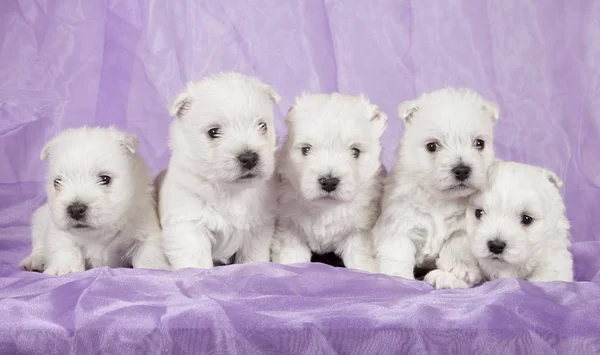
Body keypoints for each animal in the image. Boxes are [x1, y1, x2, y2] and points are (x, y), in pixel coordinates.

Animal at [19, 126, 169, 276]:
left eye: (105, 179)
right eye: (57, 182)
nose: (75, 210)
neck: (98, 234)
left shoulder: (144, 229)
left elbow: (148, 251)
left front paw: (153, 267)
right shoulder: (59, 231)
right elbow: (66, 248)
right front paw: (65, 269)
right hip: (40, 218)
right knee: (39, 244)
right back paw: (34, 261)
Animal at [159, 72, 282, 270]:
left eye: (262, 126)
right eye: (213, 132)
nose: (249, 158)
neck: (230, 191)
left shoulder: (258, 227)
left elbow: (253, 256)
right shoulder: (189, 225)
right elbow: (196, 260)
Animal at [270, 93, 386, 274]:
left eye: (355, 151)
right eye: (306, 150)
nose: (329, 182)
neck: (325, 209)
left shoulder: (359, 232)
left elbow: (360, 257)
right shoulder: (289, 226)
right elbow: (292, 256)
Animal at [372, 87, 500, 286]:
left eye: (479, 143)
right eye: (432, 146)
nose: (462, 170)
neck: (441, 199)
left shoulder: (465, 225)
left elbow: (458, 242)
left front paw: (461, 269)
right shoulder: (399, 224)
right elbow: (398, 254)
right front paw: (399, 278)